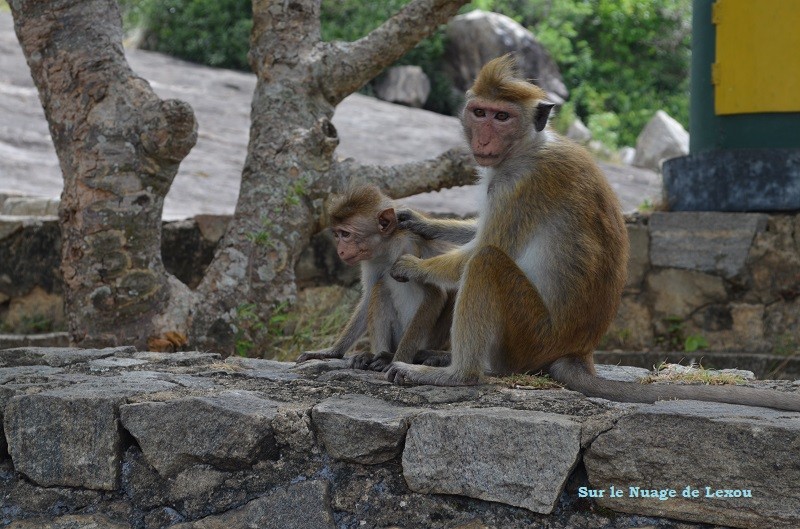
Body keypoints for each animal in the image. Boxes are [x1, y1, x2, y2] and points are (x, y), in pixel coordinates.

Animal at [296, 186, 456, 372]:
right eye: (337, 235)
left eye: (346, 234)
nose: (340, 251)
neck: (387, 245)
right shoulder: (370, 259)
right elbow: (367, 299)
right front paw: (332, 351)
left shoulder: (408, 246)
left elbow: (435, 295)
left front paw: (397, 362)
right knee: (380, 288)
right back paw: (376, 355)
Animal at [388, 55, 800, 410]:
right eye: (480, 113)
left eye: (502, 116)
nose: (483, 140)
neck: (528, 148)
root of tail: (576, 351)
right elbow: (474, 234)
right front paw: (419, 219)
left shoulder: (519, 187)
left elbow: (482, 247)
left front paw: (413, 267)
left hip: (530, 336)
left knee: (487, 264)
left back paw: (458, 374)